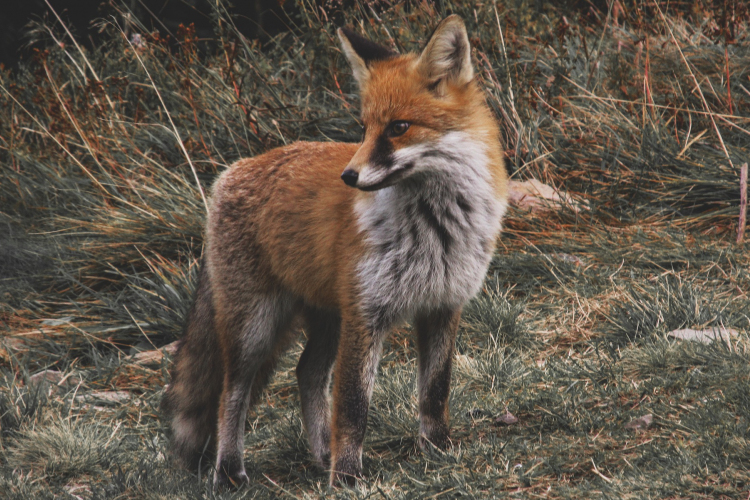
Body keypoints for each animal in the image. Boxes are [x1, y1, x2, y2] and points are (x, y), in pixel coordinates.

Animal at [164, 16, 512, 488]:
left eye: (398, 127)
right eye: (364, 128)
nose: (349, 176)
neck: (434, 228)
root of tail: (231, 172)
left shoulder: (442, 304)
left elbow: (435, 391)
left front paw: (437, 449)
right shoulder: (366, 314)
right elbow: (352, 406)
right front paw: (346, 476)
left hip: (327, 318)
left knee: (306, 373)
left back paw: (319, 454)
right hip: (255, 327)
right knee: (230, 393)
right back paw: (230, 470)